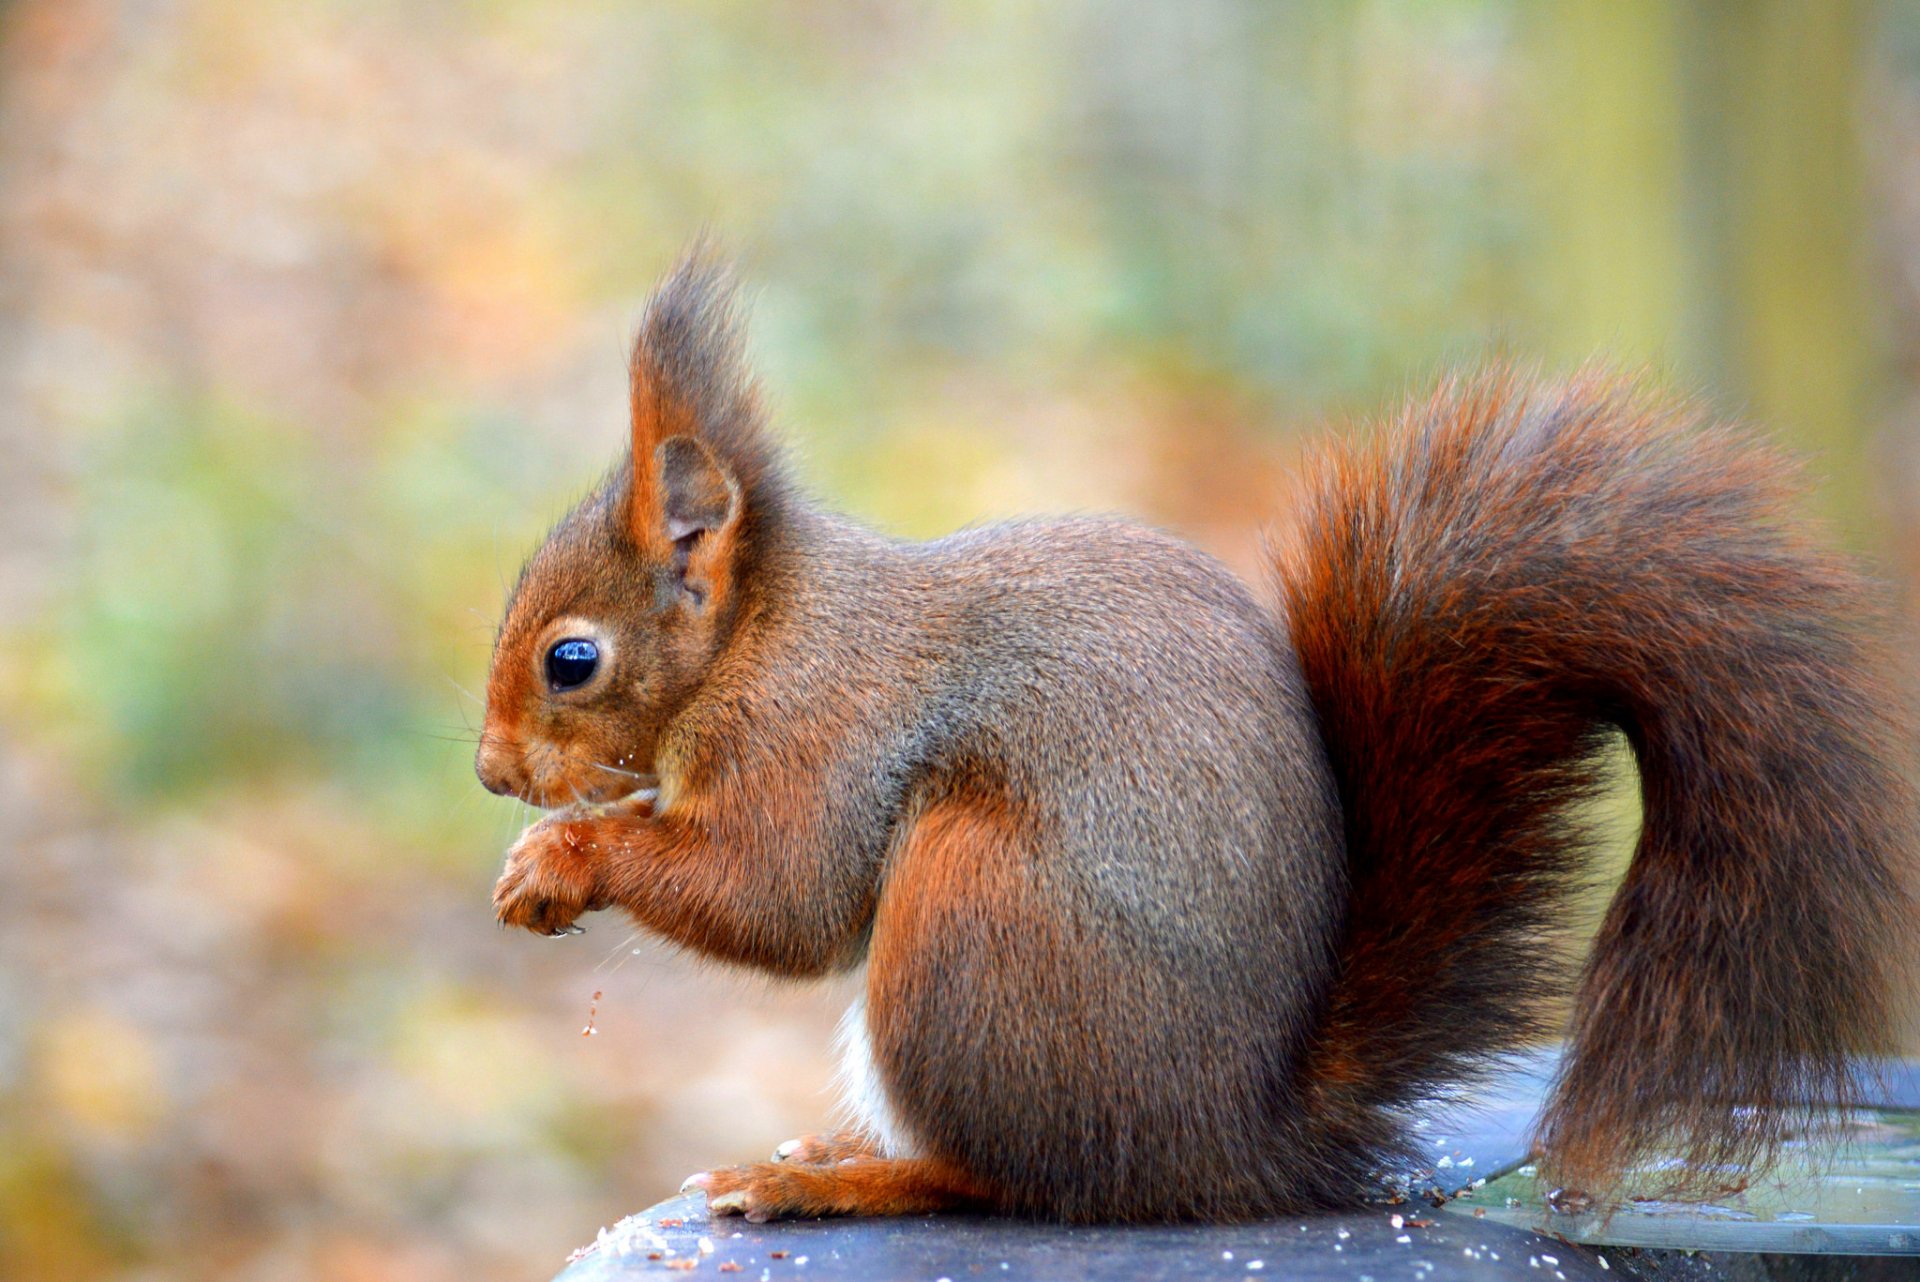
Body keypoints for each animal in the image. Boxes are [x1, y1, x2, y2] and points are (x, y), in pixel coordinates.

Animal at [472, 249, 1912, 1220]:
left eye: (572, 659)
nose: (490, 773)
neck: (762, 634)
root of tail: (1227, 1140)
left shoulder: (820, 734)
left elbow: (780, 896)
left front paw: (565, 860)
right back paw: (835, 1153)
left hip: (975, 916)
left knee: (1004, 1175)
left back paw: (840, 1181)